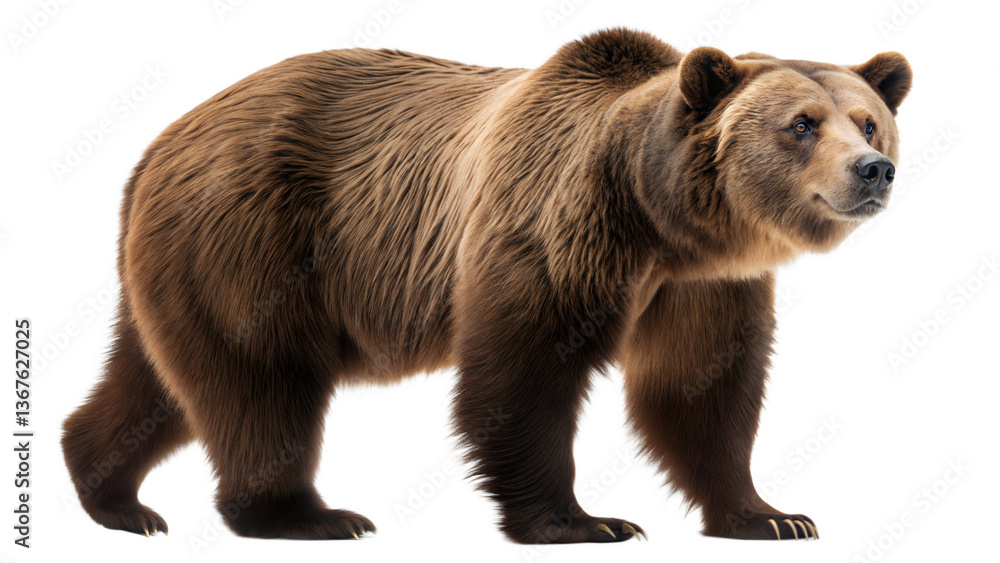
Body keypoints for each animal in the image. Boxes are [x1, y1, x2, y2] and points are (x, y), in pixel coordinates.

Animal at [62, 28, 911, 543]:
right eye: (802, 123)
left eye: (868, 120)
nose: (874, 170)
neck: (662, 223)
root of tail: (156, 145)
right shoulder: (552, 227)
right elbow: (521, 376)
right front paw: (585, 520)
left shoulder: (702, 287)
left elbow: (699, 389)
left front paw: (771, 514)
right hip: (254, 239)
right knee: (261, 379)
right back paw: (309, 515)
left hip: (185, 263)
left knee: (160, 383)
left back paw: (114, 494)